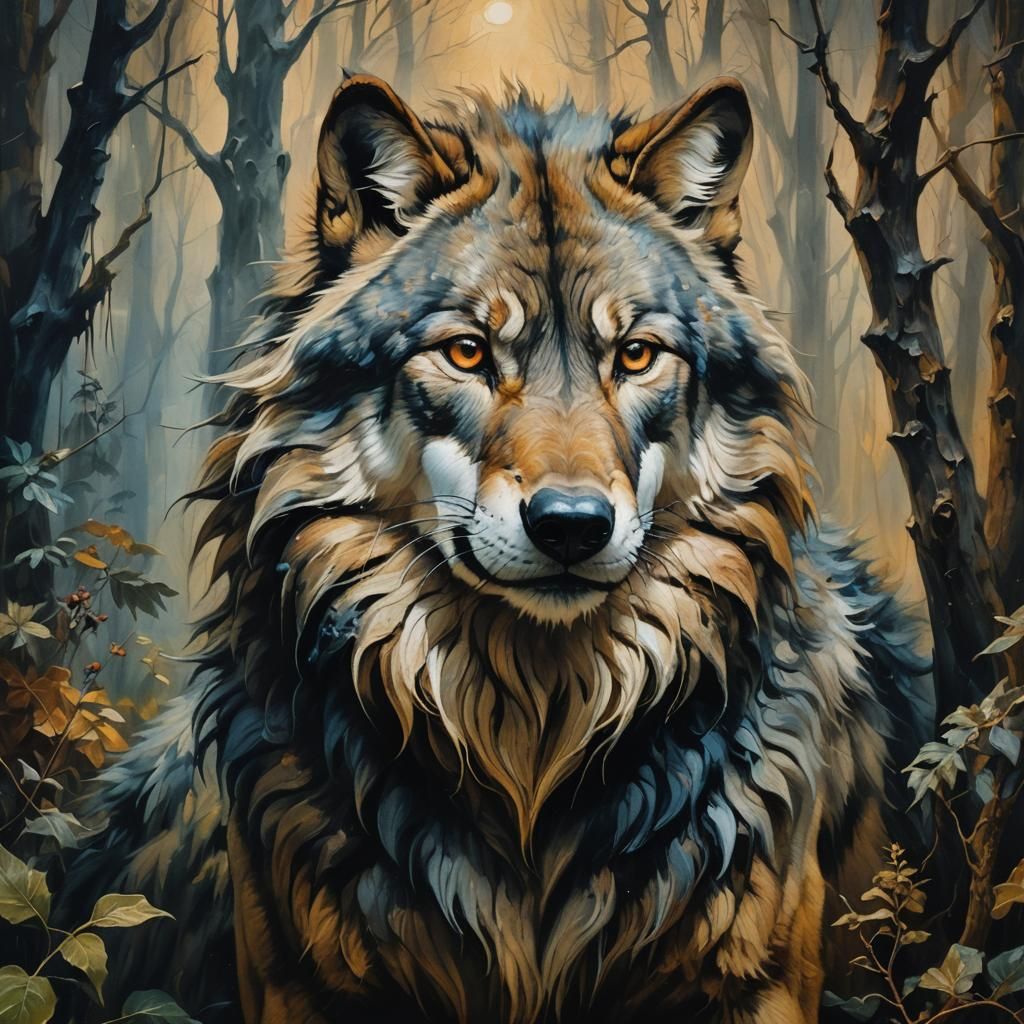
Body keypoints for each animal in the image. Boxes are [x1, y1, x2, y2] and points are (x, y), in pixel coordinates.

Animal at [64, 74, 930, 1024]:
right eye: (469, 352)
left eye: (636, 355)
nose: (572, 524)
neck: (532, 753)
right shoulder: (300, 985)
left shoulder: (760, 984)